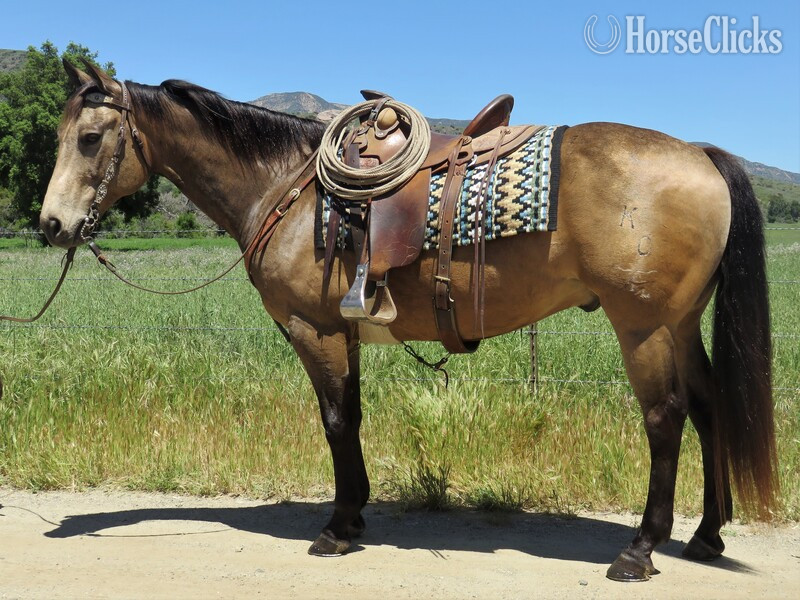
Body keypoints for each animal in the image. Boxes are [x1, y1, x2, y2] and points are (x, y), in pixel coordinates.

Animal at [38, 60, 777, 582]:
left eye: (91, 138)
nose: (51, 225)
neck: (285, 187)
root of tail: (700, 154)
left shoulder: (314, 329)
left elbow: (336, 421)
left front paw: (337, 528)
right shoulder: (345, 332)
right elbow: (354, 417)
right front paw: (356, 514)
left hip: (643, 327)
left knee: (665, 419)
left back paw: (640, 549)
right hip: (681, 325)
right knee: (708, 409)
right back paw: (706, 536)